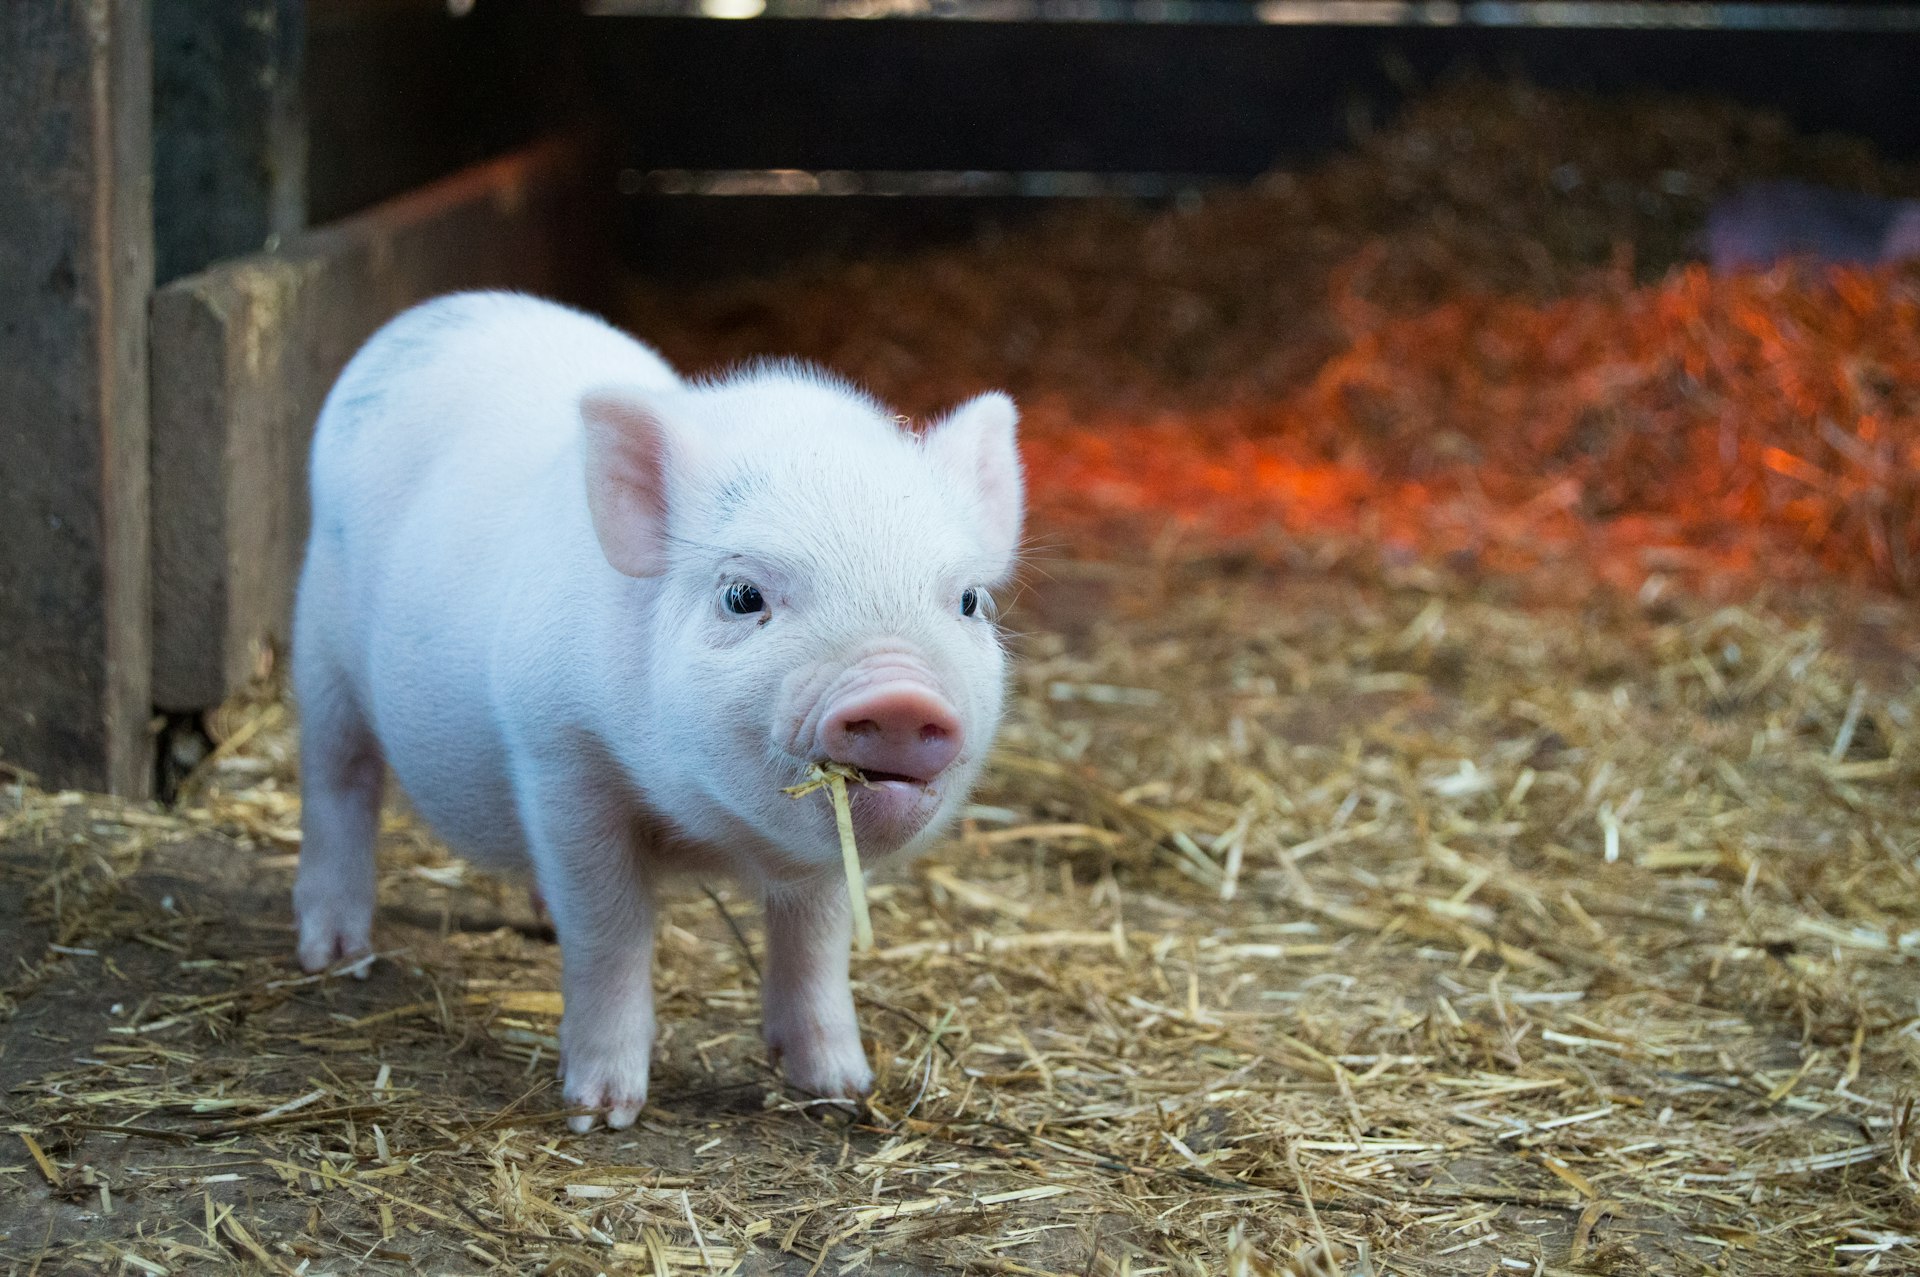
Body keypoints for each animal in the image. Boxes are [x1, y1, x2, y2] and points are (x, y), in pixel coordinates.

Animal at [290, 291, 1023, 1130]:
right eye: (742, 594)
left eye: (968, 600)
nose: (899, 694)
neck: (708, 832)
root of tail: (435, 312)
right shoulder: (559, 755)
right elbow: (609, 929)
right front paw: (601, 1112)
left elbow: (817, 938)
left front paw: (841, 1088)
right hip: (320, 646)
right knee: (338, 779)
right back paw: (333, 954)